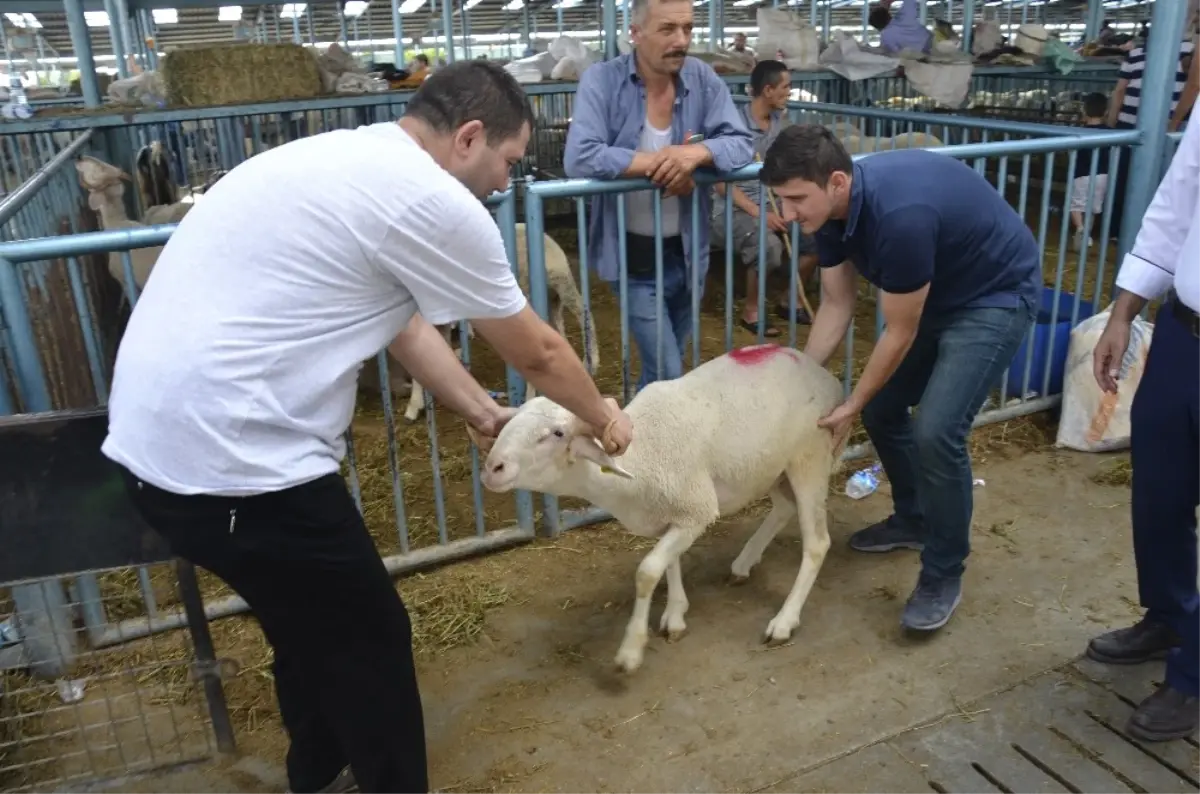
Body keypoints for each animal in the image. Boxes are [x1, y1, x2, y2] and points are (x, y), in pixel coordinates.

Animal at [475, 345, 844, 676]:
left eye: (556, 433)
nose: (492, 468)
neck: (642, 457)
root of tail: (822, 374)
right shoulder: (671, 515)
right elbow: (671, 563)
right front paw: (675, 615)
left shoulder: (696, 510)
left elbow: (648, 572)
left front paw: (631, 651)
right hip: (770, 465)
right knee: (783, 507)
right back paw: (744, 563)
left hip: (809, 455)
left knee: (817, 543)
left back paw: (784, 621)